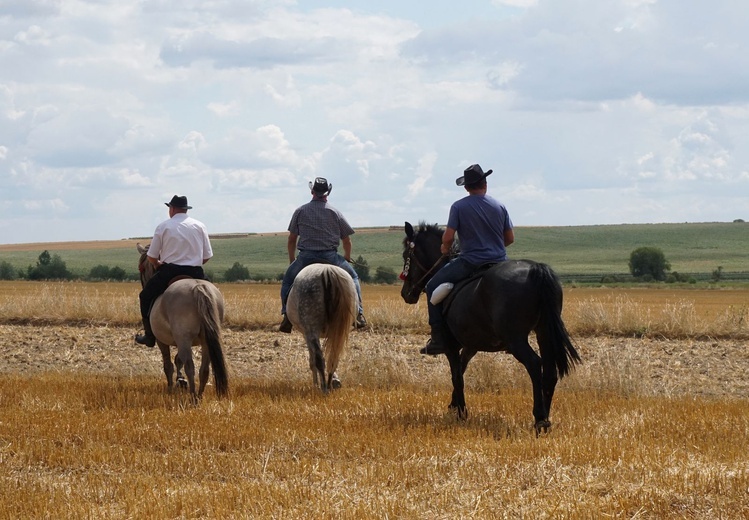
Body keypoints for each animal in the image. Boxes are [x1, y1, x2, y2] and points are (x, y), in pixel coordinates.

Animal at [135, 244, 226, 402]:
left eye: (142, 267)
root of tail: (198, 287)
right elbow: (178, 359)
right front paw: (180, 381)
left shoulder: (162, 340)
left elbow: (168, 364)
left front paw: (171, 387)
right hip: (205, 340)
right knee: (204, 369)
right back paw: (199, 396)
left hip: (184, 338)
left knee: (190, 366)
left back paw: (193, 397)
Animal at [284, 262, 358, 392]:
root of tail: (327, 271)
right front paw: (334, 381)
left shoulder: (306, 334)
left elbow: (312, 360)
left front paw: (315, 384)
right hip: (338, 331)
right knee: (333, 358)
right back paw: (329, 385)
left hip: (311, 329)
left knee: (319, 359)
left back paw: (323, 388)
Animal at [398, 221, 580, 432]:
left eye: (406, 255)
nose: (405, 293)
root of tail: (536, 269)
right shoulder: (470, 346)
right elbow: (461, 370)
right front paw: (454, 405)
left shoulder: (451, 346)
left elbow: (456, 376)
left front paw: (461, 413)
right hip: (544, 332)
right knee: (550, 372)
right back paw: (546, 419)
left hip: (516, 339)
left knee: (534, 364)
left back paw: (539, 418)